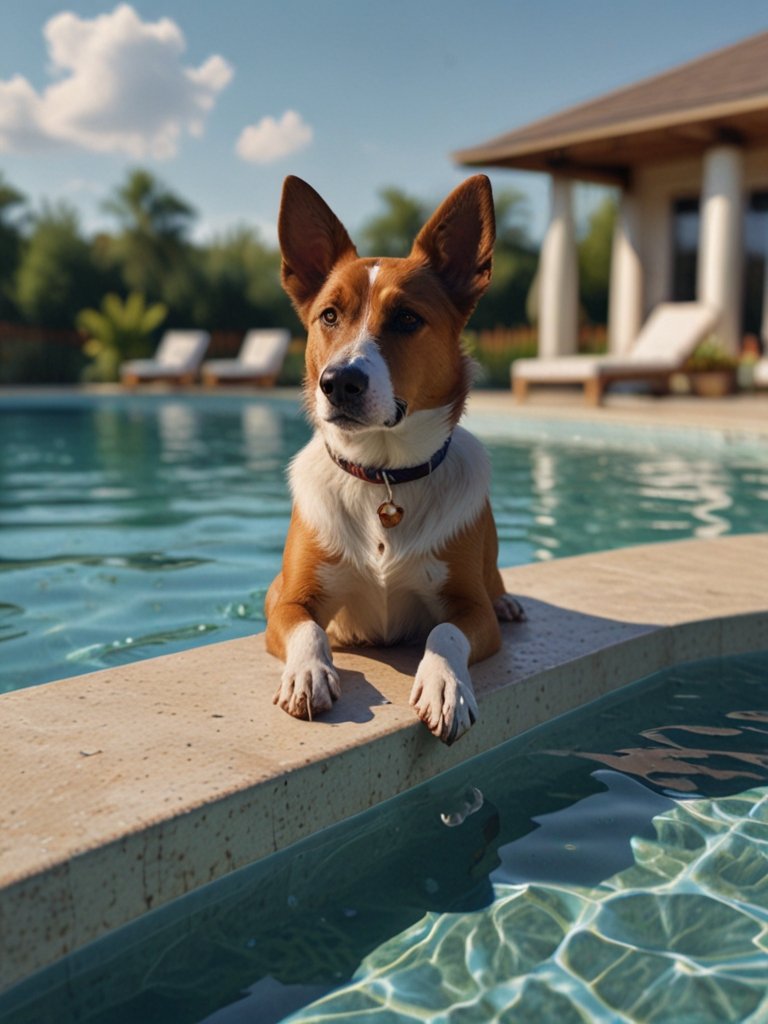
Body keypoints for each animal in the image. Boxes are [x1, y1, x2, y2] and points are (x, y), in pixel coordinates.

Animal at [264, 174, 524, 745]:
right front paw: (308, 672)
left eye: (407, 318)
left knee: (493, 589)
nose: (339, 382)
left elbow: (446, 631)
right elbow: (307, 627)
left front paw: (445, 684)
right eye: (329, 315)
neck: (382, 475)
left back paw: (507, 600)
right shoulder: (286, 600)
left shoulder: (471, 611)